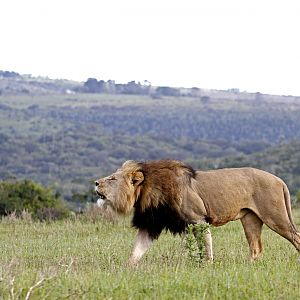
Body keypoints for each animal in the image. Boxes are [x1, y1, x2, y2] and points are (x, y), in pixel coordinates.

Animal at [95, 158, 300, 264]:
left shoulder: (198, 219)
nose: (96, 183)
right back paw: (249, 264)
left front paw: (207, 265)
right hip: (250, 219)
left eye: (112, 179)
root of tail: (279, 179)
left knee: (295, 236)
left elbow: (206, 245)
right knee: (256, 247)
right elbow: (137, 249)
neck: (146, 190)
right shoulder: (153, 224)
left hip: (275, 217)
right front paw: (127, 267)